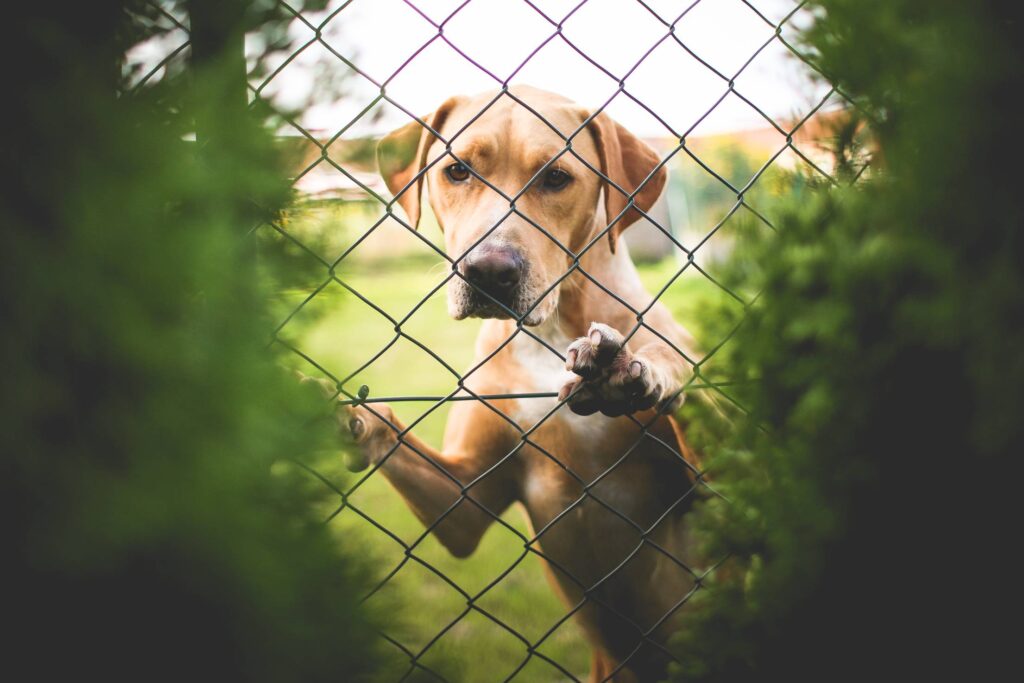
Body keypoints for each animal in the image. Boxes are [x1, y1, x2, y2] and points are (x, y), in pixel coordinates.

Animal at [339, 88, 708, 679]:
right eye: (457, 170)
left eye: (556, 177)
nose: (489, 273)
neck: (550, 332)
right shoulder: (465, 500)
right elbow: (398, 438)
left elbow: (681, 368)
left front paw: (644, 366)